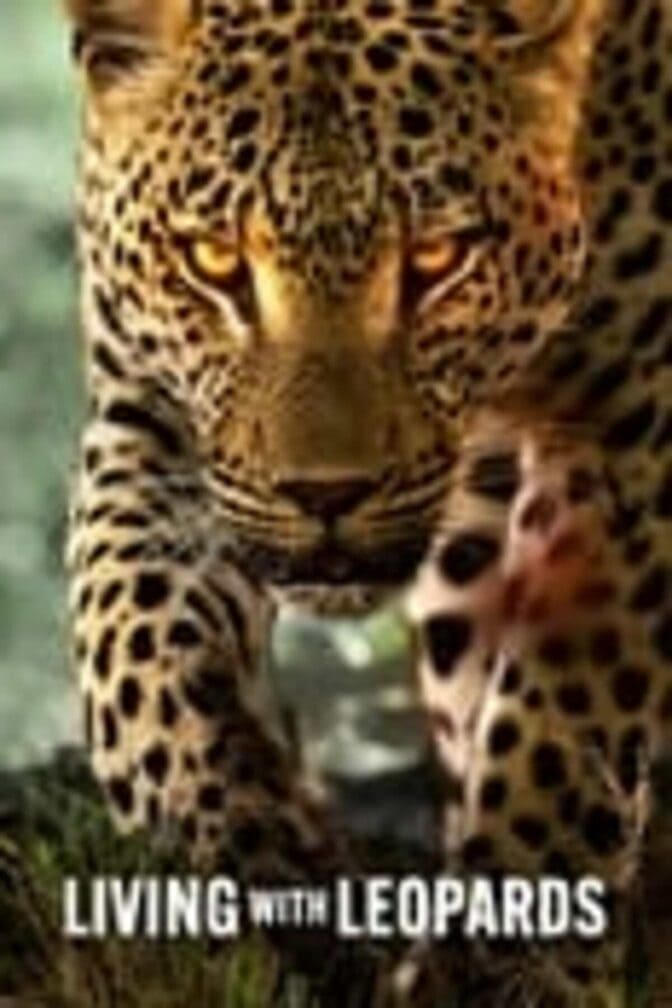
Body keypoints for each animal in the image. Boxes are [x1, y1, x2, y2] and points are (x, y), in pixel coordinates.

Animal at [61, 0, 672, 1003]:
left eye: (437, 257)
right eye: (213, 260)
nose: (327, 494)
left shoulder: (639, 431)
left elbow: (561, 721)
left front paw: (506, 964)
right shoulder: (152, 416)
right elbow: (135, 652)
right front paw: (257, 872)